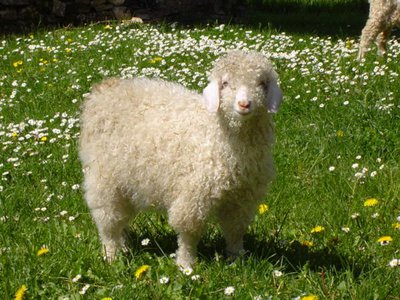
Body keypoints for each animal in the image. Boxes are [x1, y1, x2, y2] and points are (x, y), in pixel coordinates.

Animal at [79, 49, 282, 268]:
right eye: (225, 83)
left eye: (262, 83)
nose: (244, 104)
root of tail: (105, 89)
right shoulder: (193, 194)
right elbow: (189, 233)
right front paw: (186, 264)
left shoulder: (243, 197)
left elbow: (235, 230)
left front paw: (237, 259)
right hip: (104, 178)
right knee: (107, 220)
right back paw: (111, 256)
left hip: (127, 180)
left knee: (120, 219)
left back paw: (123, 246)